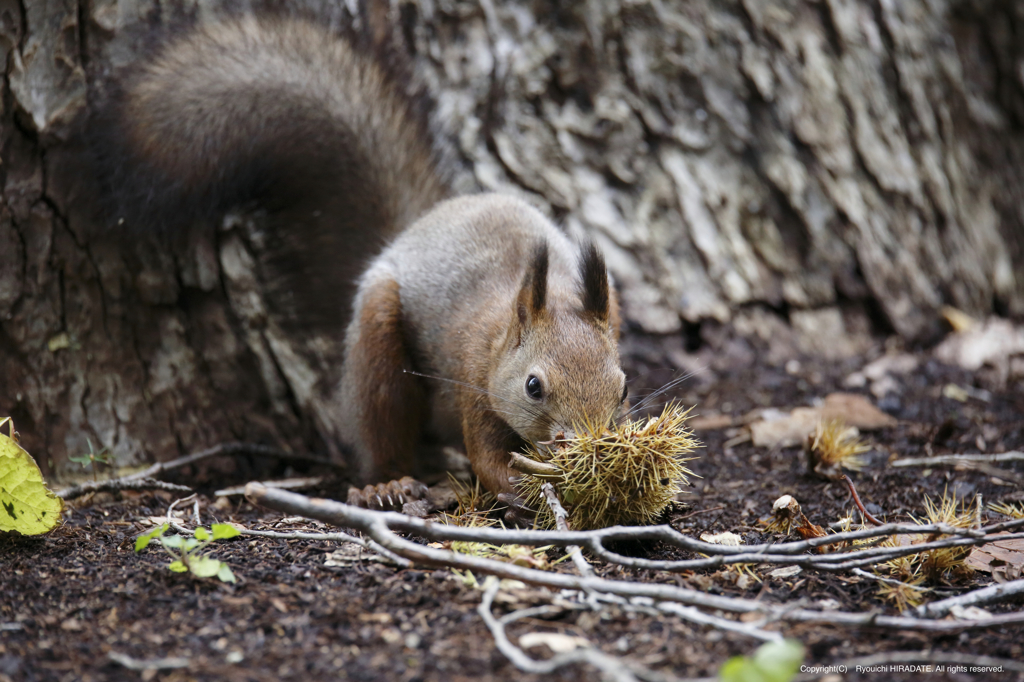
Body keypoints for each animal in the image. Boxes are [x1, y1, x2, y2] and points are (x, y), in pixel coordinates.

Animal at [94, 11, 622, 520]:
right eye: (533, 387)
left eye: (621, 388)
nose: (585, 443)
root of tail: (406, 235)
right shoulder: (475, 378)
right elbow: (487, 458)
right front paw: (521, 490)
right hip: (377, 344)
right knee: (381, 424)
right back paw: (385, 486)